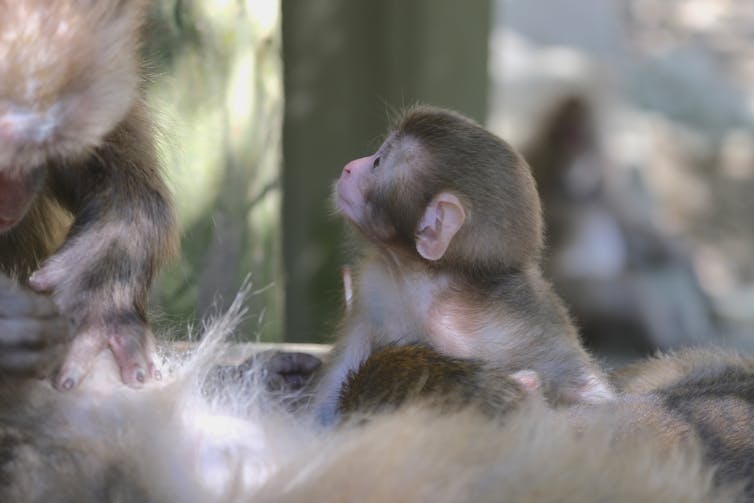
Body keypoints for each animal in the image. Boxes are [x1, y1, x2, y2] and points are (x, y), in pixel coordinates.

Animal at [312, 105, 614, 425]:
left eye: (378, 162)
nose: (349, 167)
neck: (425, 282)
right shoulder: (373, 287)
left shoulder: (510, 326)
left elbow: (591, 397)